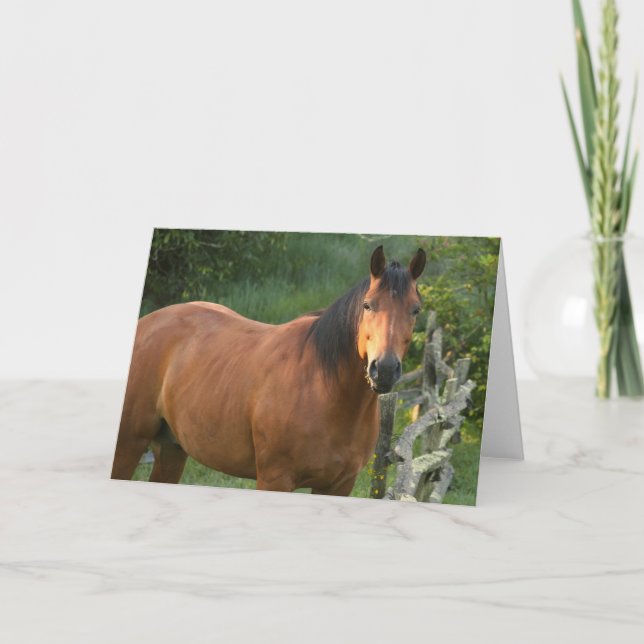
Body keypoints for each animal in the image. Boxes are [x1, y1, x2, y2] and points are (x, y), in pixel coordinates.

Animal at [111, 245, 426, 496]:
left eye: (416, 310)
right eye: (368, 305)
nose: (384, 369)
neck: (324, 390)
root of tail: (148, 322)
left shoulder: (338, 486)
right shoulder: (275, 479)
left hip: (172, 449)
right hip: (129, 443)